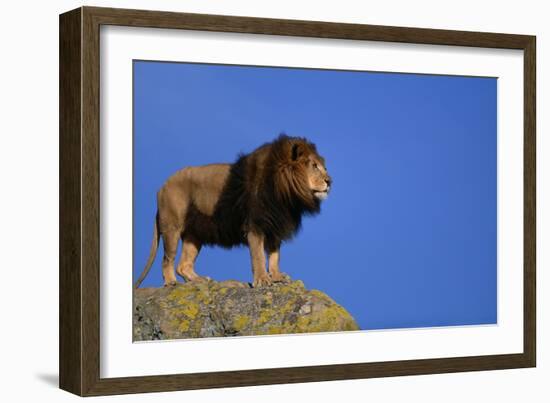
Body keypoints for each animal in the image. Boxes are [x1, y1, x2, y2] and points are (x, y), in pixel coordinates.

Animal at [134, 136, 332, 290]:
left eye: (324, 167)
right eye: (314, 166)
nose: (330, 181)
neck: (286, 197)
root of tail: (162, 186)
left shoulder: (275, 226)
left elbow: (274, 256)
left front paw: (276, 276)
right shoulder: (255, 226)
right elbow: (258, 256)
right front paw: (262, 280)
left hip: (194, 234)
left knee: (183, 265)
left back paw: (200, 280)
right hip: (172, 227)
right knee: (167, 259)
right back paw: (171, 282)